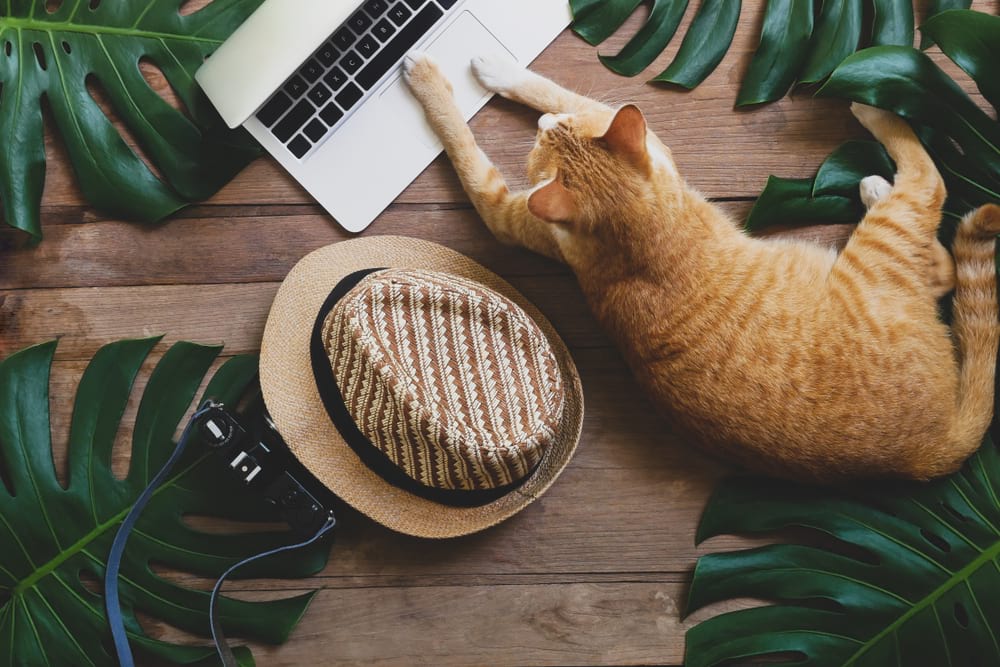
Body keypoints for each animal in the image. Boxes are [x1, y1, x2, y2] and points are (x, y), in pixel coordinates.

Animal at [402, 52, 996, 480]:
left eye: (548, 138)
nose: (546, 126)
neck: (642, 226)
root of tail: (933, 449)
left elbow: (524, 108)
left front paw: (482, 74)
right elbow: (499, 129)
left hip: (884, 240)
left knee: (931, 185)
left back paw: (874, 111)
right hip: (886, 245)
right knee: (938, 247)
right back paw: (875, 180)